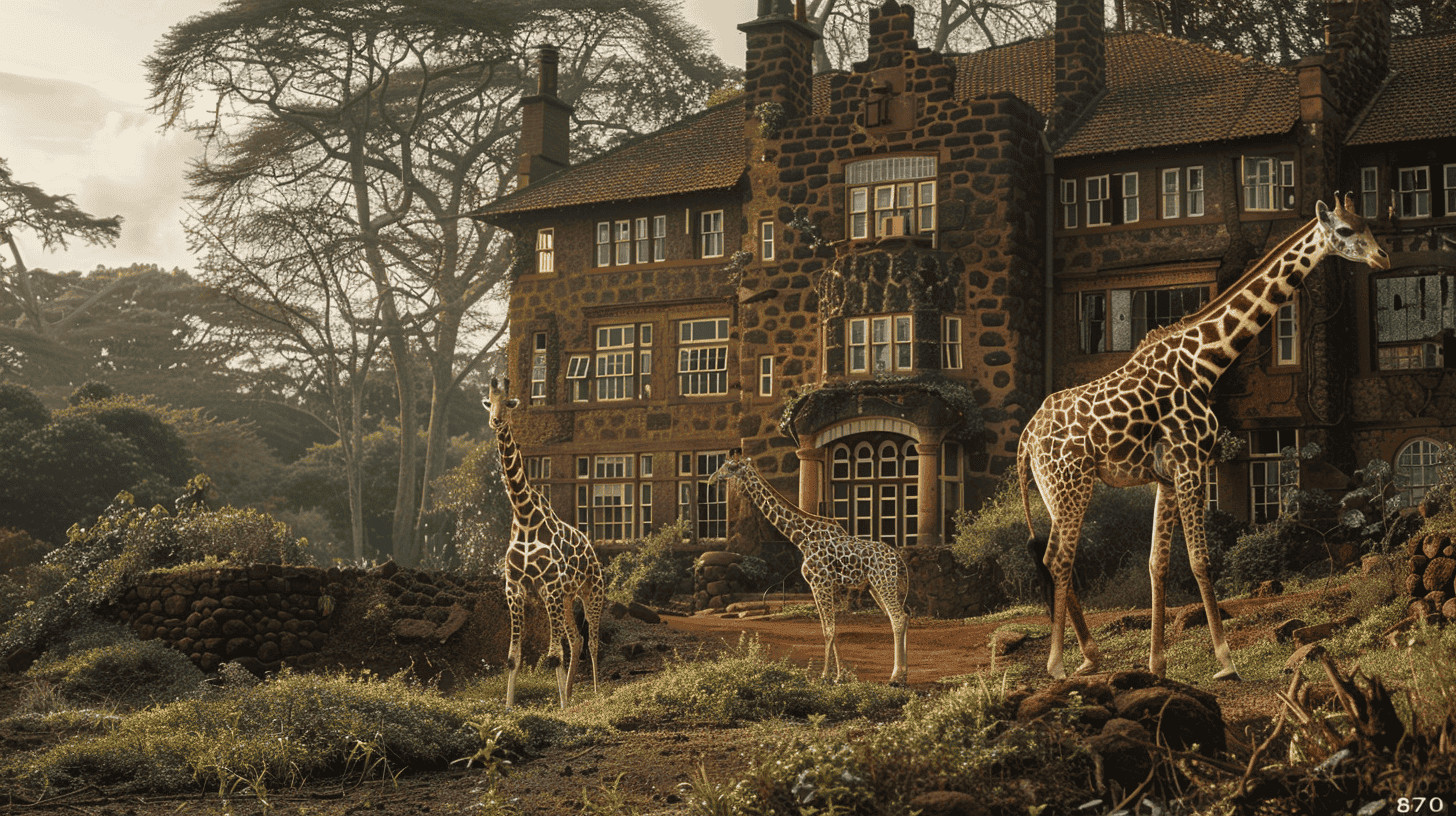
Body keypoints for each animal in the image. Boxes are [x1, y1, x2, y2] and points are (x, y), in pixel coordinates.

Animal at [483, 378, 604, 708]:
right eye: (488, 401)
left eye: (509, 403)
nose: (495, 420)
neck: (524, 514)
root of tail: (592, 549)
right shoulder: (515, 586)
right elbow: (514, 657)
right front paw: (509, 708)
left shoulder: (549, 584)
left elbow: (552, 656)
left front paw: (560, 707)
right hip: (565, 598)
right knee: (575, 639)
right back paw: (571, 694)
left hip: (592, 592)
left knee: (593, 641)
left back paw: (595, 693)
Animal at [709, 451, 909, 685]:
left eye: (731, 467)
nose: (712, 478)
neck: (802, 538)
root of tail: (899, 560)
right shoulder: (823, 585)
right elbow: (828, 628)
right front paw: (838, 676)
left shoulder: (820, 582)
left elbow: (829, 630)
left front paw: (823, 676)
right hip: (877, 587)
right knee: (901, 617)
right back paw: (903, 674)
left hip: (883, 583)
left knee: (898, 618)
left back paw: (896, 677)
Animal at [1019, 194, 1390, 681]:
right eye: (1345, 231)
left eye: (1368, 223)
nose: (1382, 257)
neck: (1205, 362)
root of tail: (1026, 437)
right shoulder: (1192, 462)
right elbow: (1200, 558)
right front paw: (1226, 661)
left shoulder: (1167, 473)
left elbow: (1157, 563)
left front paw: (1157, 663)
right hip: (1071, 483)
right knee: (1058, 558)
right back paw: (1058, 664)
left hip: (1052, 489)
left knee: (1054, 556)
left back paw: (1090, 656)